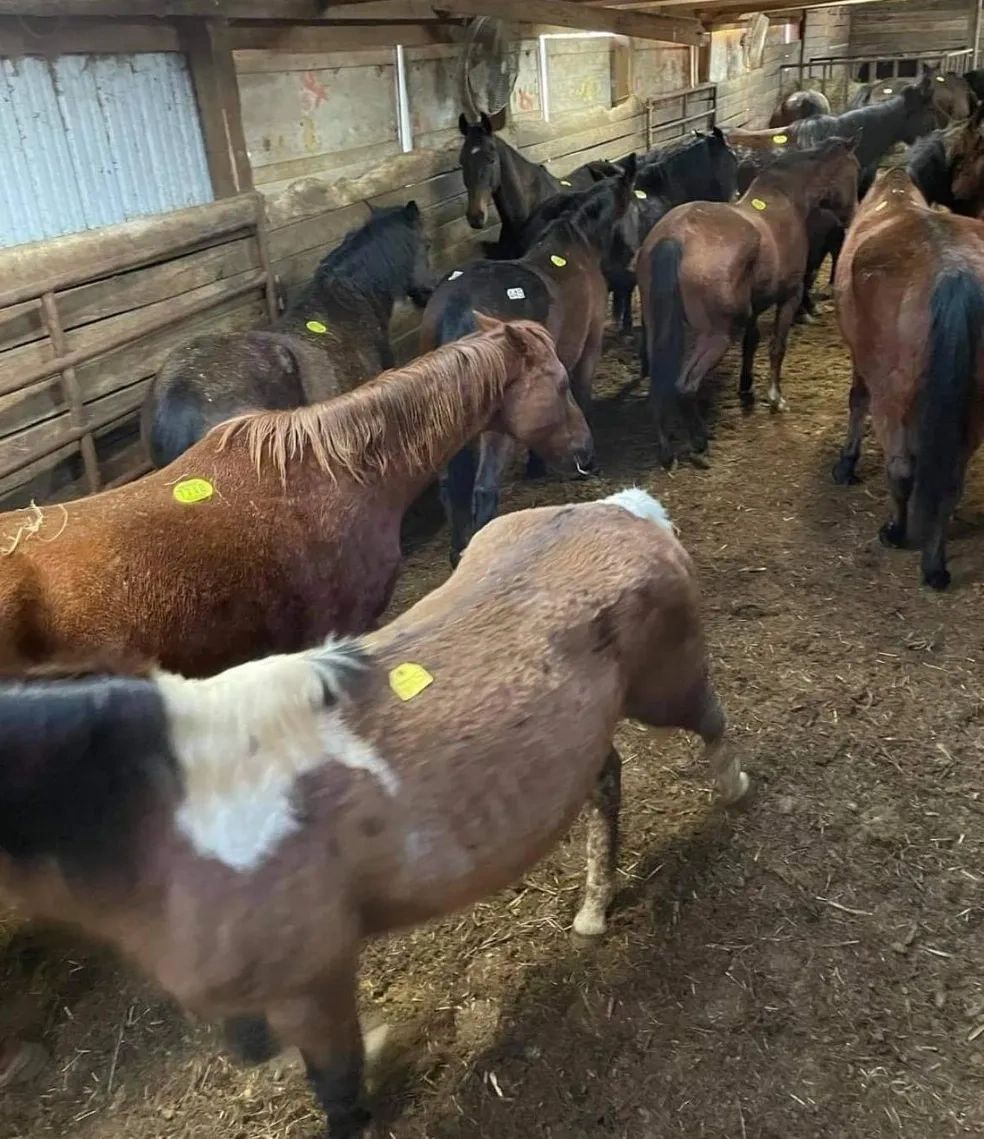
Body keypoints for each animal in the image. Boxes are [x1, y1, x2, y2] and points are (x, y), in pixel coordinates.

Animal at [0, 488, 750, 1139]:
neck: (179, 805)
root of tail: (620, 510)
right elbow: (261, 1049)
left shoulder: (314, 982)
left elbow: (336, 1085)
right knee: (607, 786)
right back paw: (595, 906)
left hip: (667, 687)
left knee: (710, 723)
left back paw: (733, 786)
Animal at [420, 166, 634, 563]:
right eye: (633, 205)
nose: (630, 256)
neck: (575, 249)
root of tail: (459, 307)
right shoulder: (588, 349)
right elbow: (580, 397)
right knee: (484, 490)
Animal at [637, 137, 858, 467]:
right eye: (853, 171)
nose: (853, 216)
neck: (786, 200)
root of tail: (675, 237)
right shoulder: (789, 297)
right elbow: (777, 347)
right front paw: (775, 397)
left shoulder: (755, 308)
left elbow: (751, 344)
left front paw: (746, 387)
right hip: (715, 336)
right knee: (684, 386)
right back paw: (700, 443)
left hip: (658, 331)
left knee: (659, 386)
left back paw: (667, 452)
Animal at [832, 168, 984, 590]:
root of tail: (953, 271)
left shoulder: (862, 362)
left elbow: (856, 401)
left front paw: (846, 465)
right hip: (973, 411)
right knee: (949, 485)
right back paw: (934, 565)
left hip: (892, 399)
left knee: (900, 469)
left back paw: (896, 533)